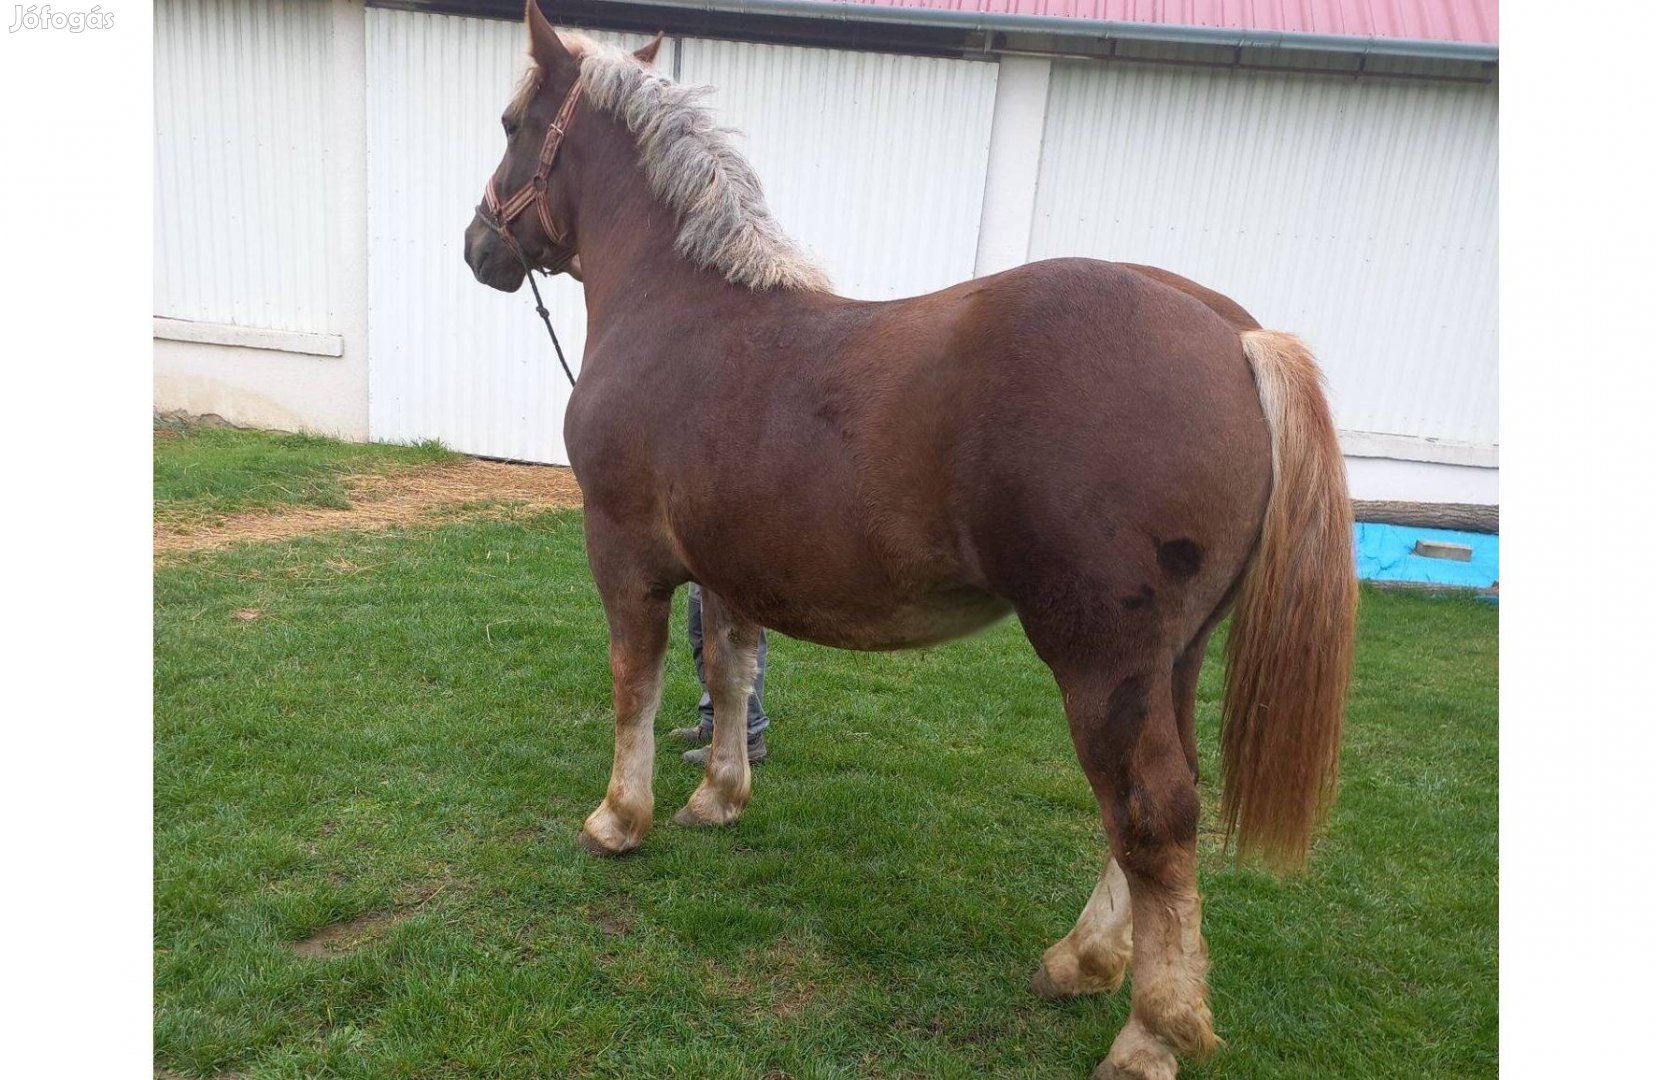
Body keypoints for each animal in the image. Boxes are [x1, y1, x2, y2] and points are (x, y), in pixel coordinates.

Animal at [466, 10, 1357, 1080]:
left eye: (512, 122)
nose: (476, 243)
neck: (679, 308)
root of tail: (1235, 338)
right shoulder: (728, 570)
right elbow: (730, 671)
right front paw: (718, 797)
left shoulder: (625, 551)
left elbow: (633, 682)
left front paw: (618, 819)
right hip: (1172, 657)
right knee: (1152, 803)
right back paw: (1084, 959)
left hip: (1103, 657)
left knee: (1151, 811)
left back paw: (1150, 1030)